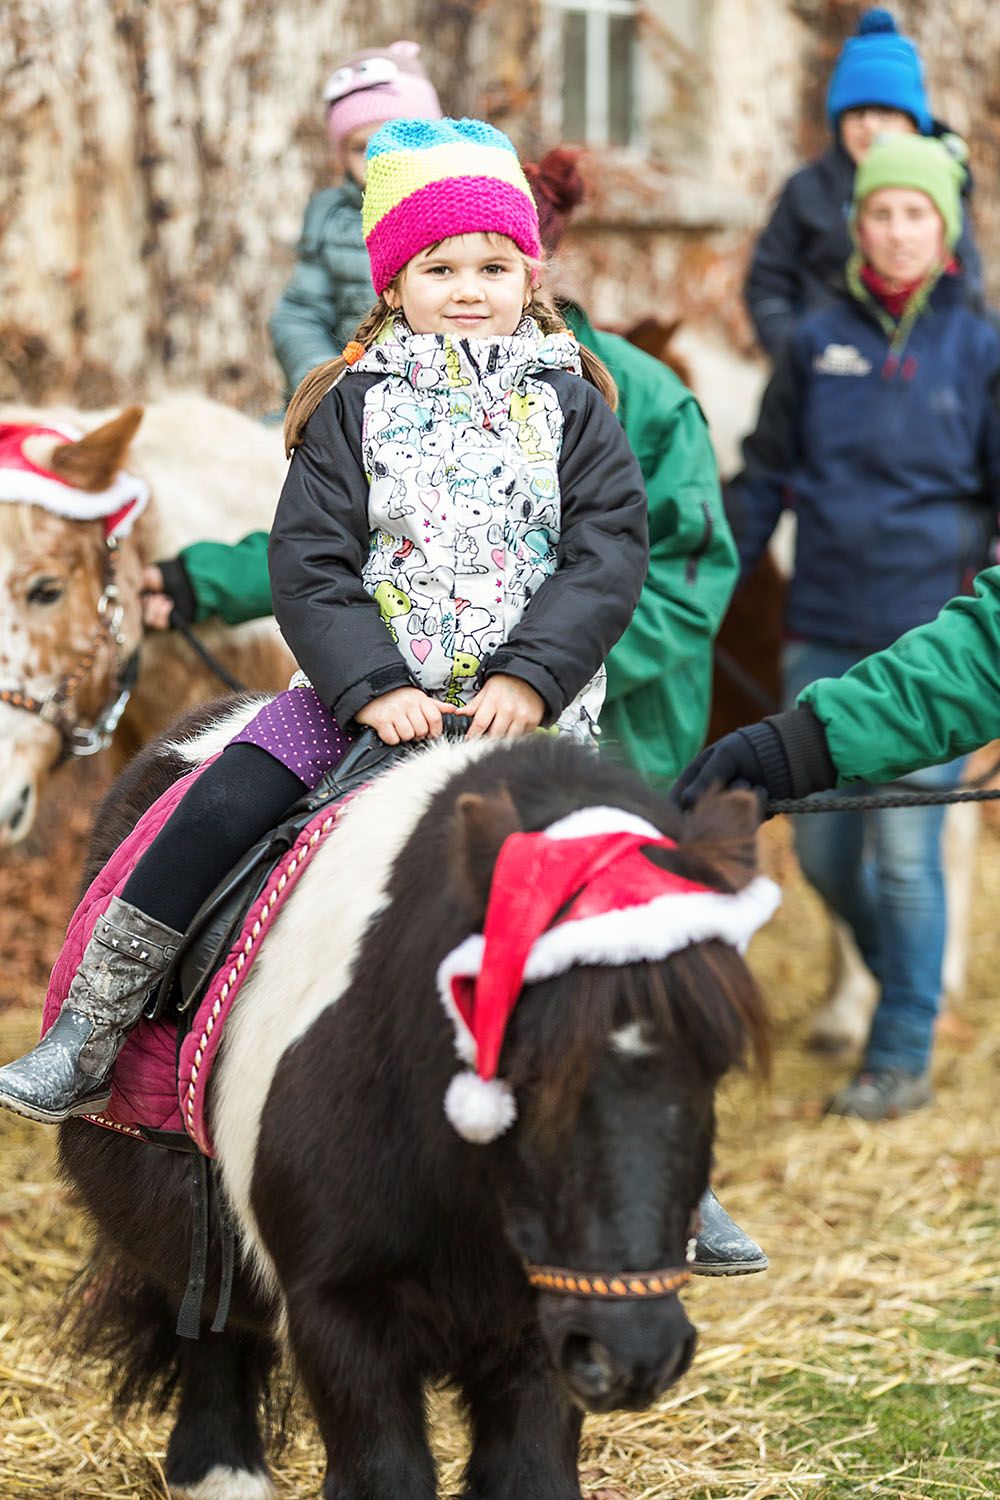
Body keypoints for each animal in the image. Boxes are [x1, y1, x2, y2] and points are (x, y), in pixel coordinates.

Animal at [58, 705, 773, 1500]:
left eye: (715, 1066)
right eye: (521, 1065)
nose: (634, 1353)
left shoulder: (537, 1331)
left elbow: (528, 1473)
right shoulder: (338, 1316)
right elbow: (384, 1473)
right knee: (211, 1330)